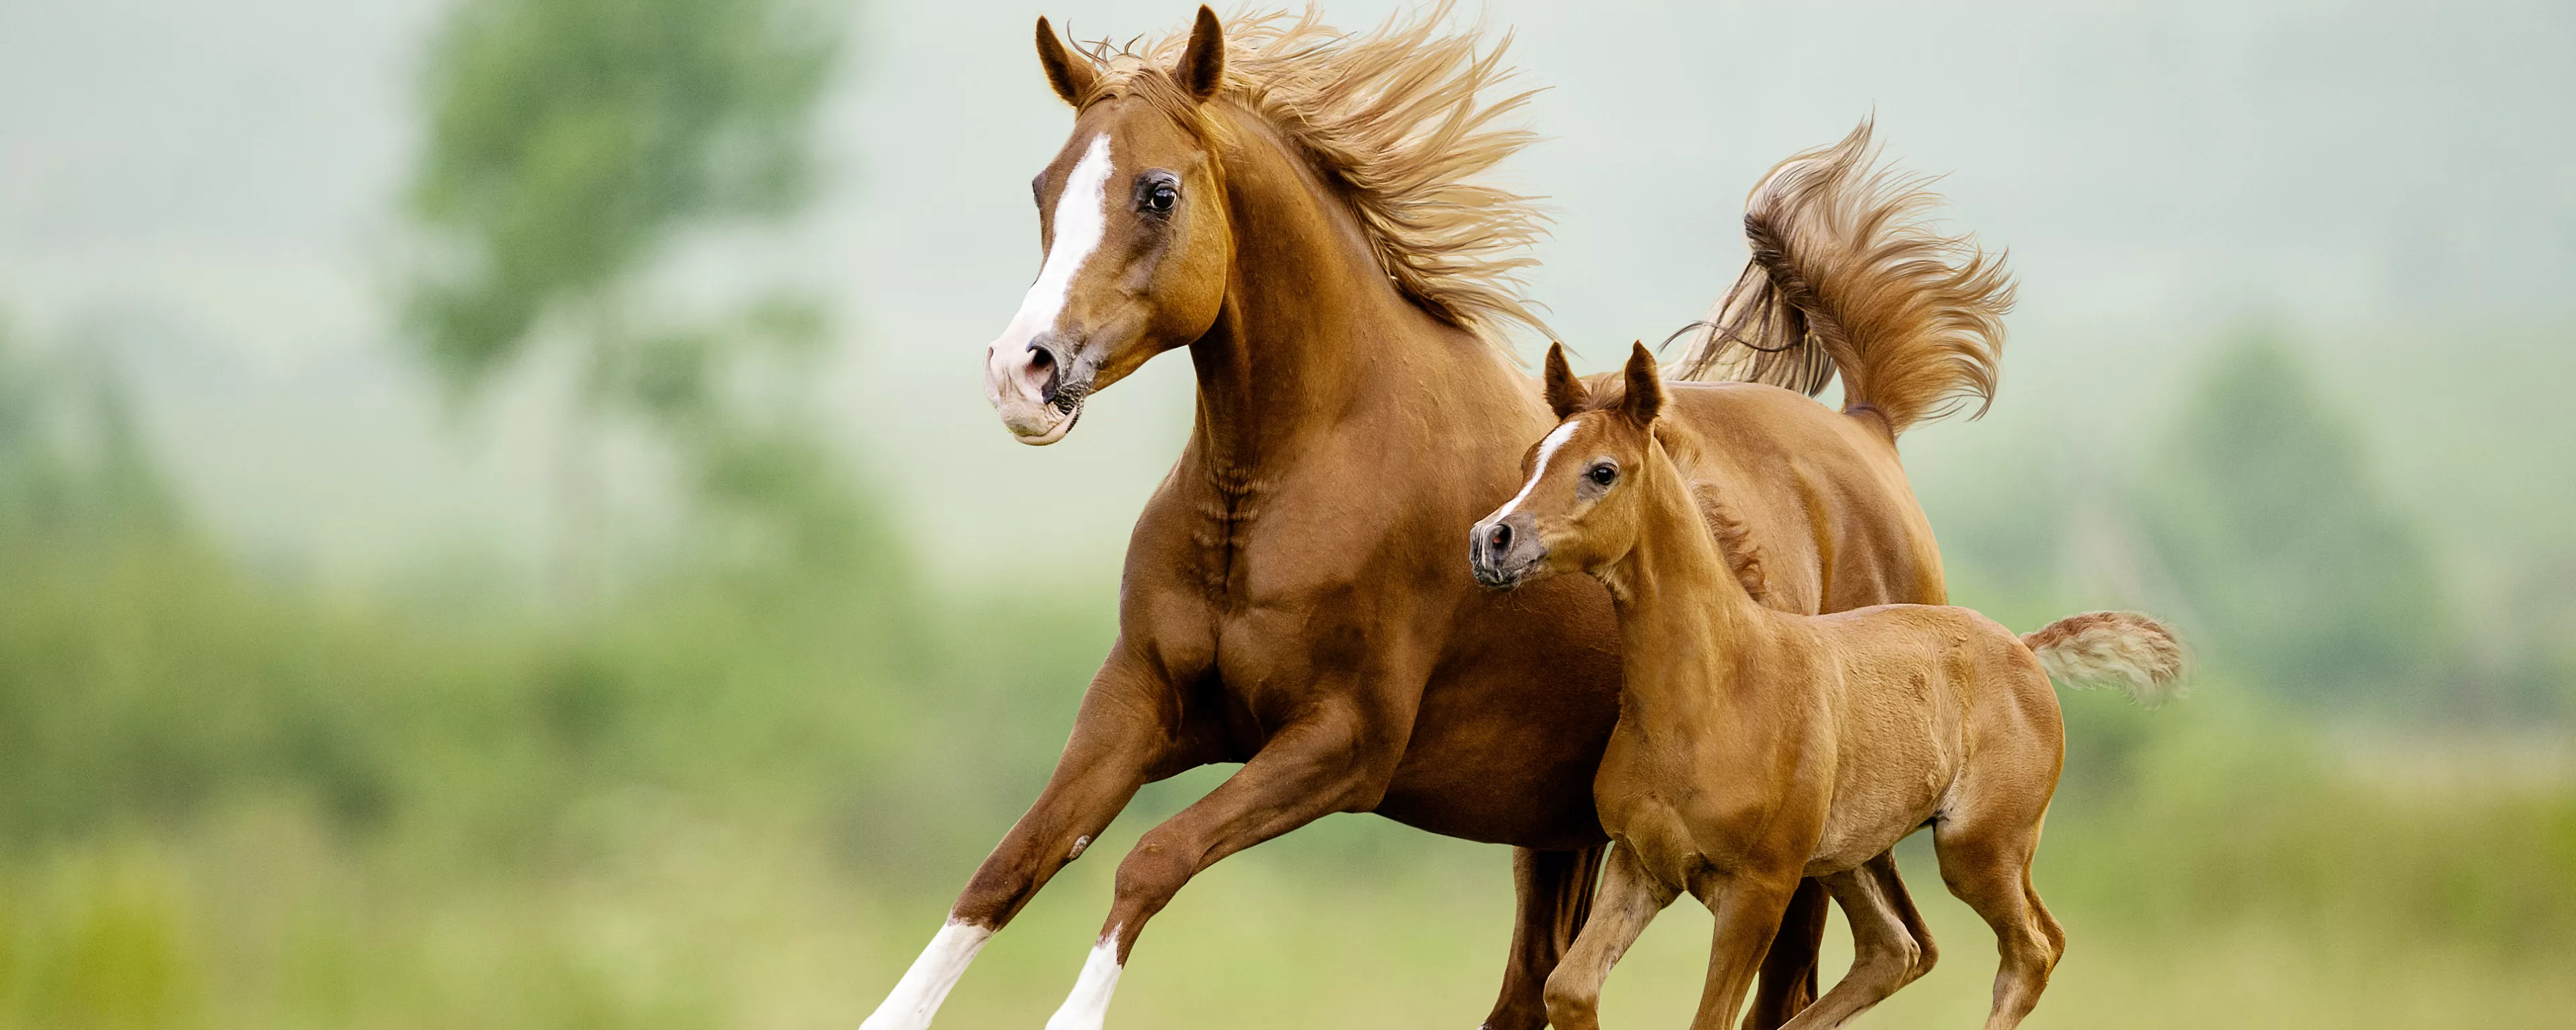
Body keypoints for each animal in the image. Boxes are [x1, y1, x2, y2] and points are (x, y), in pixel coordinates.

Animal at [1483, 345, 2184, 1030]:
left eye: (1602, 471)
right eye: (1528, 459)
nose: (1492, 540)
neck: (1715, 692)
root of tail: (2022, 647)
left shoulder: (1760, 888)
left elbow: (1709, 1018)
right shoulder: (1642, 864)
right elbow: (1569, 990)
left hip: (1978, 849)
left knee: (2033, 950)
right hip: (1853, 857)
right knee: (1897, 949)